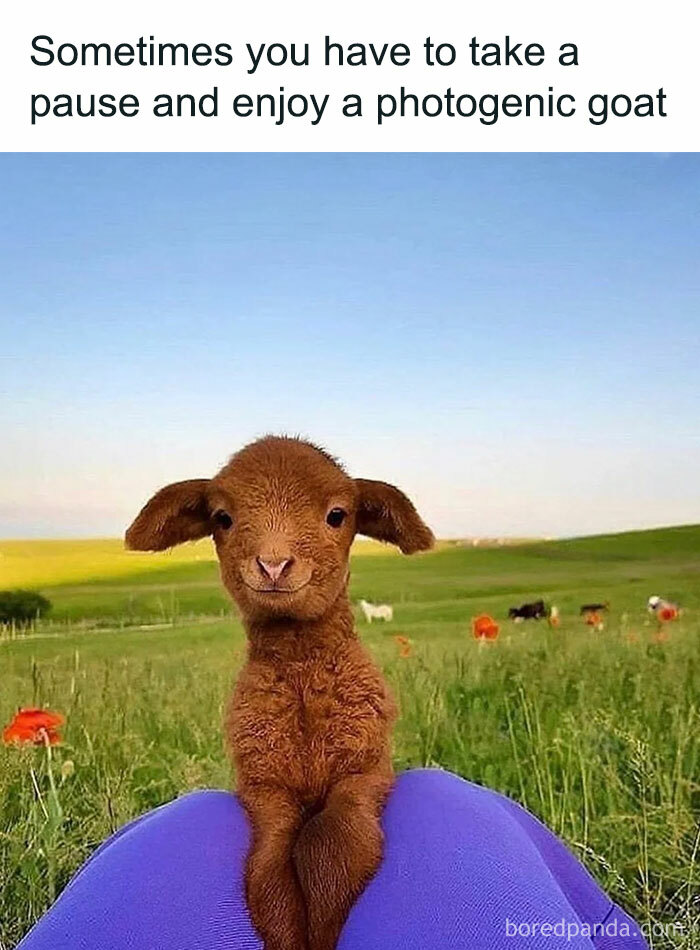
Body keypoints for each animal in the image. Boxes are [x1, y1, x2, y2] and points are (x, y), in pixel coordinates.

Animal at [125, 435, 434, 950]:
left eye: (337, 515)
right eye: (222, 518)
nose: (273, 564)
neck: (303, 679)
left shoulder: (365, 770)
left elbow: (331, 845)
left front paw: (327, 928)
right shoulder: (264, 787)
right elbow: (268, 871)